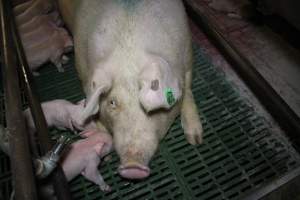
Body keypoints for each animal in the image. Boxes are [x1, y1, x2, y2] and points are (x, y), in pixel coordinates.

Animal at [58, 0, 204, 179]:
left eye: (152, 109)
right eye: (112, 102)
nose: (132, 165)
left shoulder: (187, 56)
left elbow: (188, 89)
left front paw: (195, 140)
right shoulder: (83, 72)